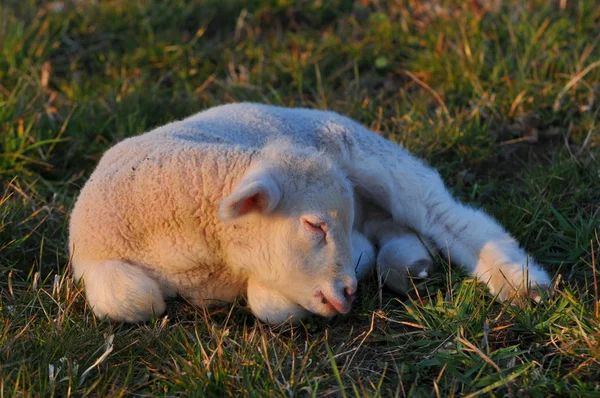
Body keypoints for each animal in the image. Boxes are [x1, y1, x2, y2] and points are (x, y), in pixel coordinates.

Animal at [69, 102, 548, 324]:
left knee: (442, 215)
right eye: (313, 225)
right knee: (392, 224)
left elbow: (270, 306)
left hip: (373, 157)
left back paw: (522, 283)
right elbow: (130, 298)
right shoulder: (89, 256)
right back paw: (408, 264)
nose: (349, 292)